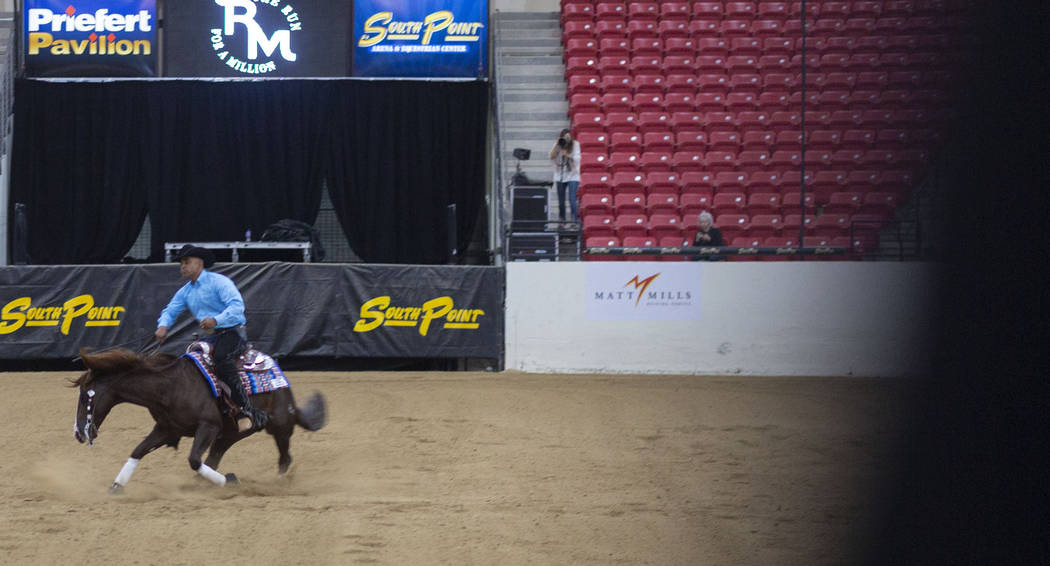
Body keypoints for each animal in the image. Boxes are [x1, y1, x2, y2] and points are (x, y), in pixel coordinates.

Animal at [71, 348, 325, 493]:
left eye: (84, 397)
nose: (78, 433)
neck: (170, 387)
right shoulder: (166, 429)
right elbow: (137, 451)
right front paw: (117, 485)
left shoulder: (208, 427)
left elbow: (193, 460)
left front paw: (231, 480)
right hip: (230, 434)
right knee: (214, 457)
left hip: (280, 425)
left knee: (285, 458)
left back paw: (278, 483)